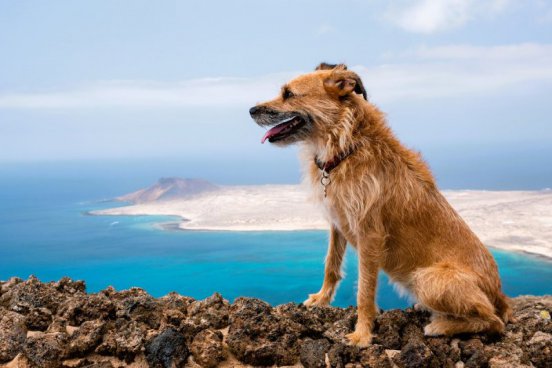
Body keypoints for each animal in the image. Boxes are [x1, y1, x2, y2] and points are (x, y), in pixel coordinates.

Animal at [248, 61, 512, 346]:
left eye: (288, 94)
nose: (251, 111)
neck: (346, 145)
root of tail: (500, 296)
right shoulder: (338, 223)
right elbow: (331, 264)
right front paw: (321, 299)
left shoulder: (370, 236)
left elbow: (364, 290)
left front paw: (362, 334)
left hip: (428, 278)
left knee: (493, 321)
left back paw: (441, 326)